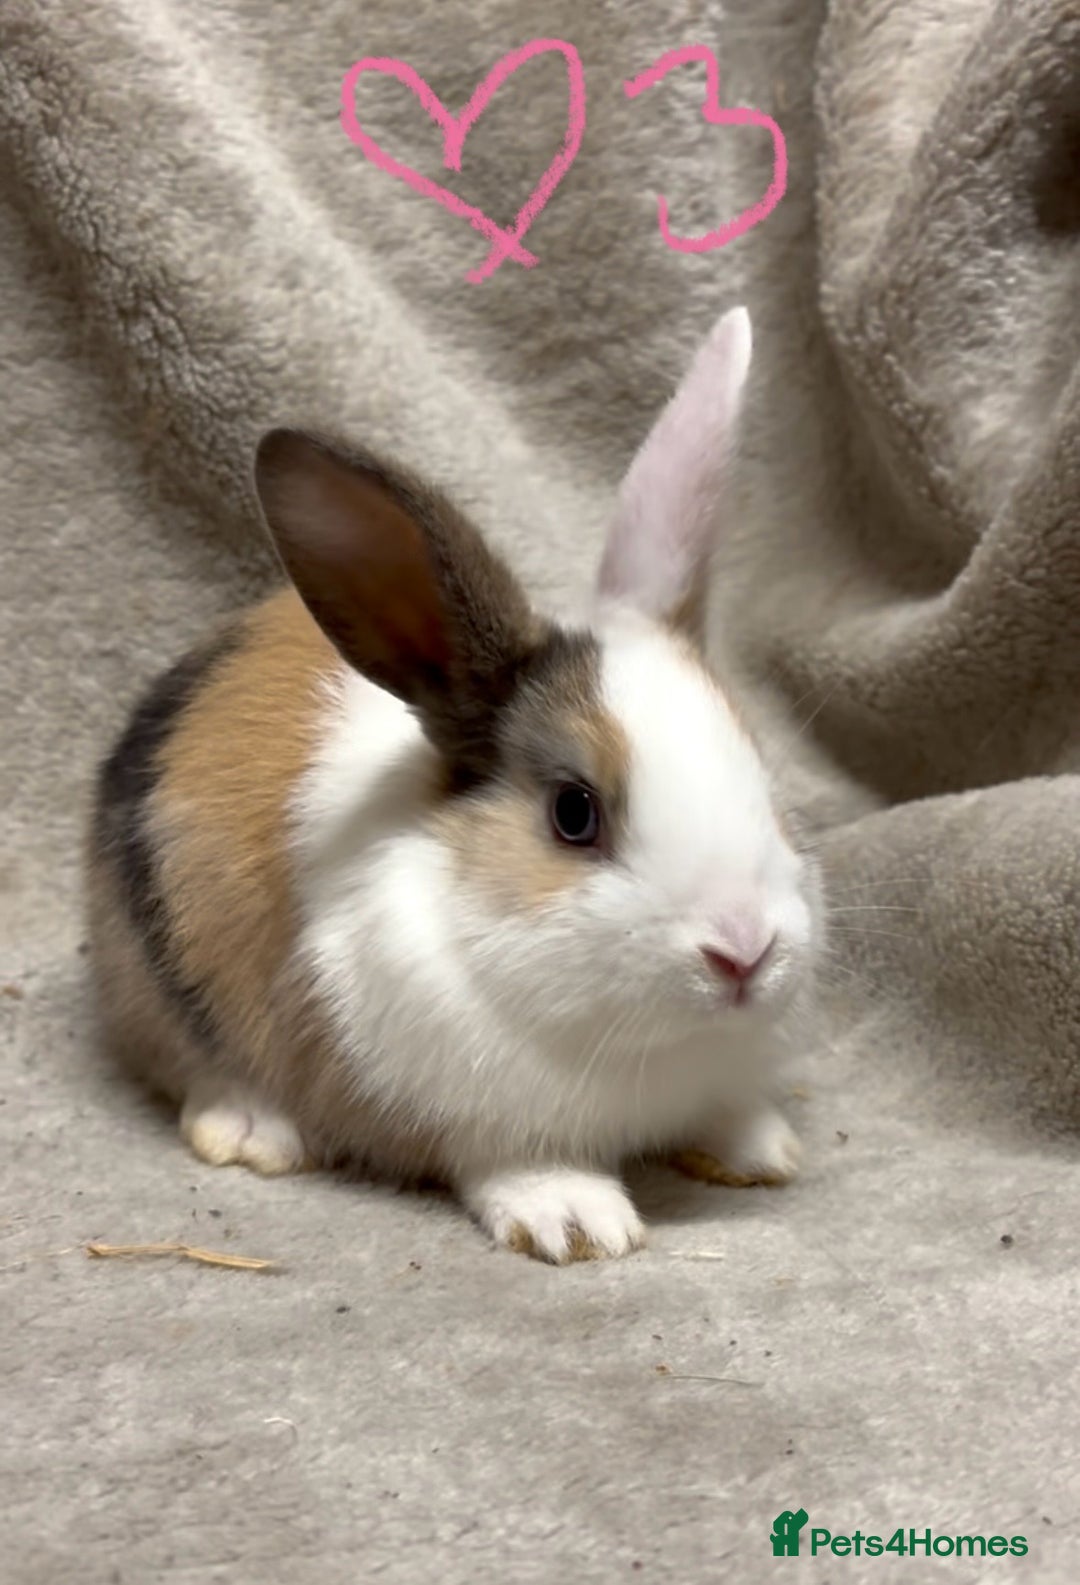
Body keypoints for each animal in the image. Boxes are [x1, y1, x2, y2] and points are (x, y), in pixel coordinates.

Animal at [85, 306, 822, 1263]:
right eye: (573, 813)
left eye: (761, 776)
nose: (744, 951)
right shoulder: (472, 1108)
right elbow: (514, 1158)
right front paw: (576, 1221)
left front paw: (761, 1146)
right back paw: (253, 1131)